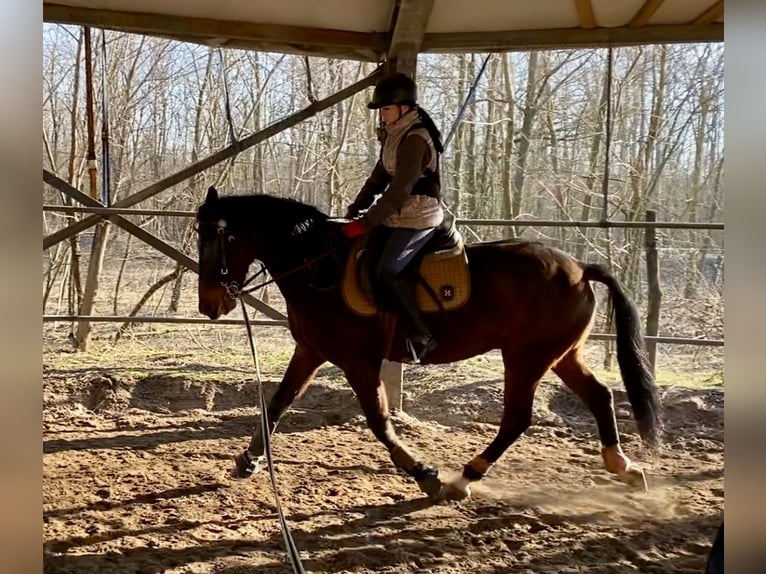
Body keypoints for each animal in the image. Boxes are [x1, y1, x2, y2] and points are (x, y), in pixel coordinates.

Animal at [195, 187, 664, 502]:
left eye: (213, 241)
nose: (209, 305)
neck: (318, 267)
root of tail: (580, 267)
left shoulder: (358, 362)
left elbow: (379, 422)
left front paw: (425, 474)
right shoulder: (311, 351)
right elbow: (277, 403)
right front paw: (248, 459)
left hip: (526, 357)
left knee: (516, 419)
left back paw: (464, 478)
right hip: (560, 355)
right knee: (599, 395)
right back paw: (622, 466)